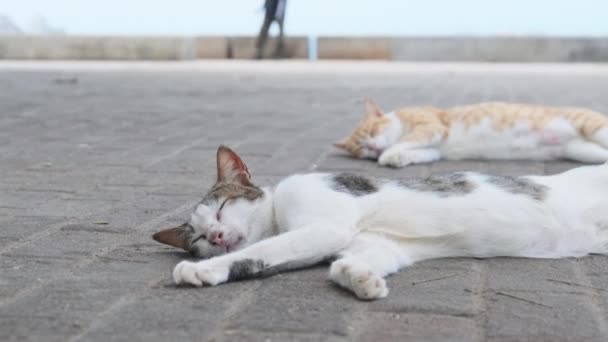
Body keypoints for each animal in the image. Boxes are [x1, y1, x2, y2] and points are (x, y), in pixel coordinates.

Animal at [154, 146, 608, 300]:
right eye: (198, 237)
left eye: (221, 208)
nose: (215, 235)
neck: (280, 217)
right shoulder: (371, 243)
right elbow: (341, 262)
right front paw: (360, 277)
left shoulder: (328, 226)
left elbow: (261, 248)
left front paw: (200, 270)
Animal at [334, 98, 608, 168]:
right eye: (360, 149)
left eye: (372, 131)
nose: (372, 147)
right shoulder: (435, 150)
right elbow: (419, 153)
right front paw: (396, 158)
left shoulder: (432, 127)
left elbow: (403, 141)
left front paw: (388, 155)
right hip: (582, 150)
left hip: (592, 127)